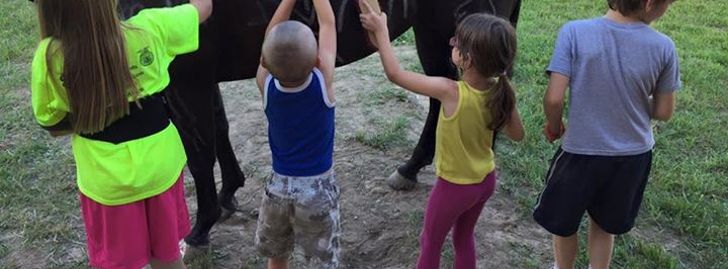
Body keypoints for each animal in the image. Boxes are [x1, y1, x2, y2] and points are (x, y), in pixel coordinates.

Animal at [116, 0, 520, 246]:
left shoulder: (185, 78)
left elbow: (199, 153)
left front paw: (199, 231)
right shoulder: (201, 75)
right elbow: (218, 129)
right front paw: (229, 192)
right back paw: (412, 168)